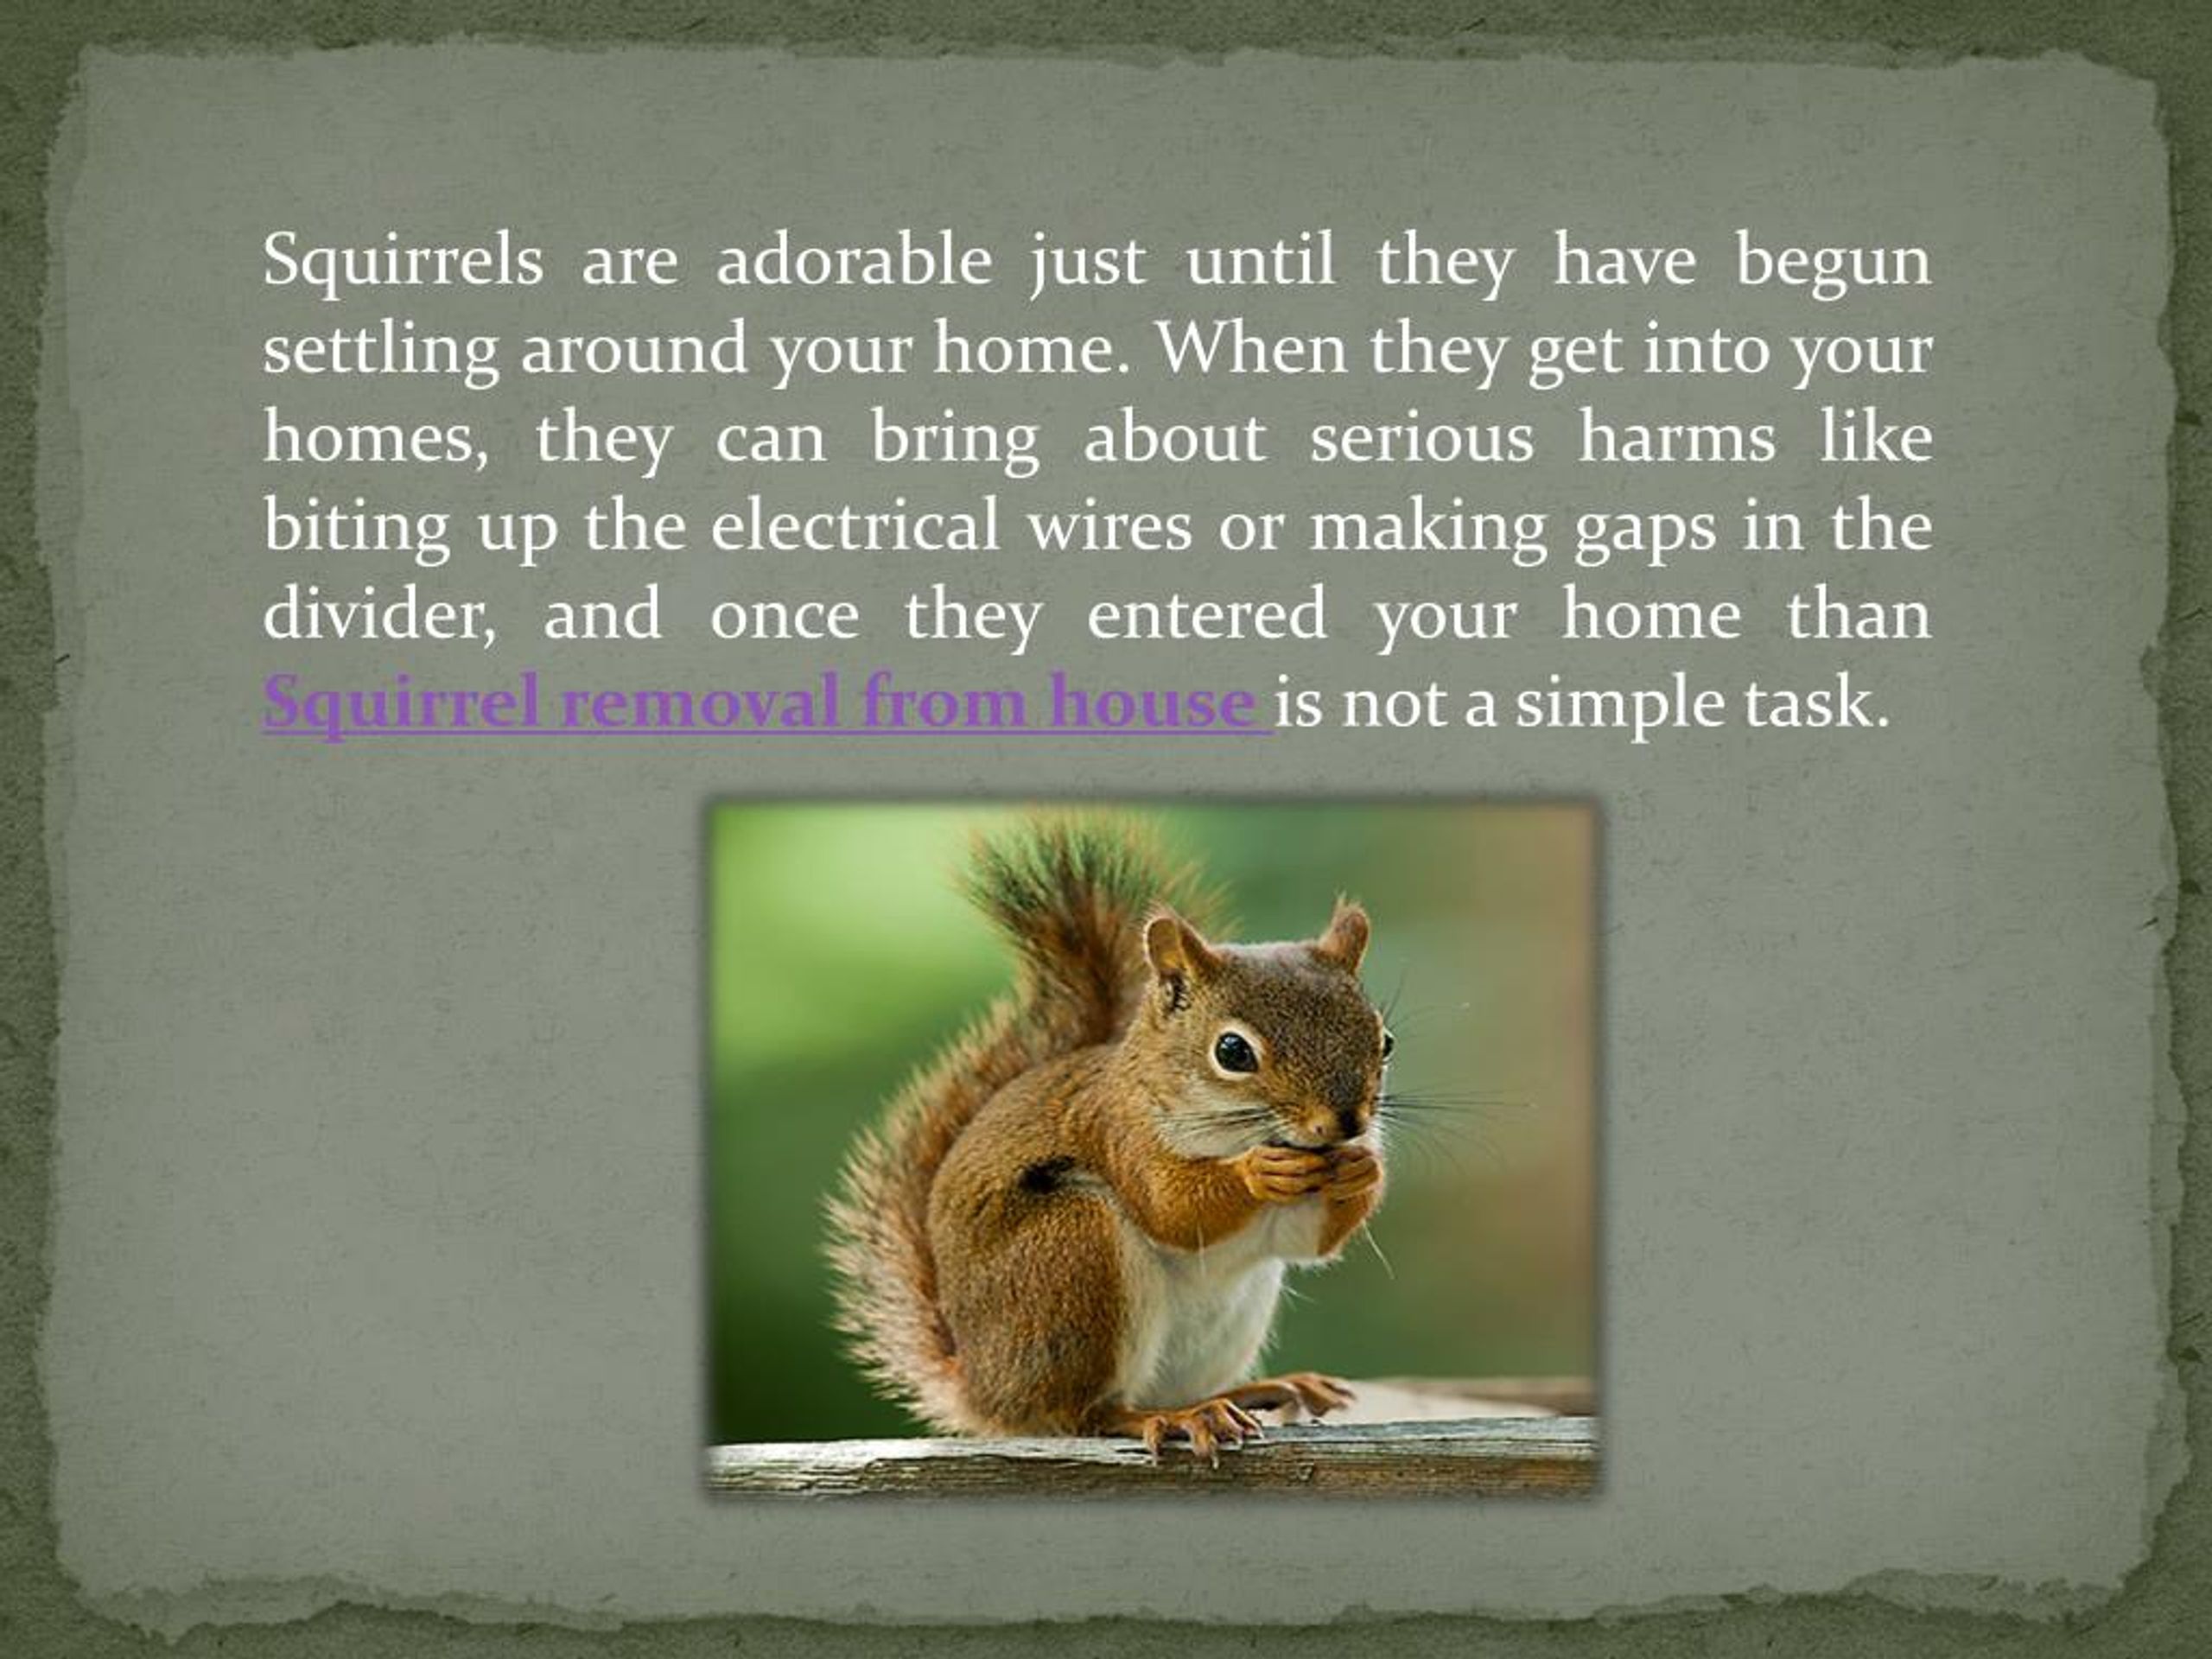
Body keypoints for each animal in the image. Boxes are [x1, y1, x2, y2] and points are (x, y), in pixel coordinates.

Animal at [826, 816, 1389, 1459]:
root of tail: (985, 1391)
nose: (1345, 1123)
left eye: (1385, 1041)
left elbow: (1308, 1242)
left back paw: (1257, 1391)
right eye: (1232, 1051)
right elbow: (1173, 1208)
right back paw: (1172, 1418)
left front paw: (1364, 1168)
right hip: (1073, 1254)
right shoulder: (1122, 1135)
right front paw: (1257, 1172)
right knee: (1084, 1413)